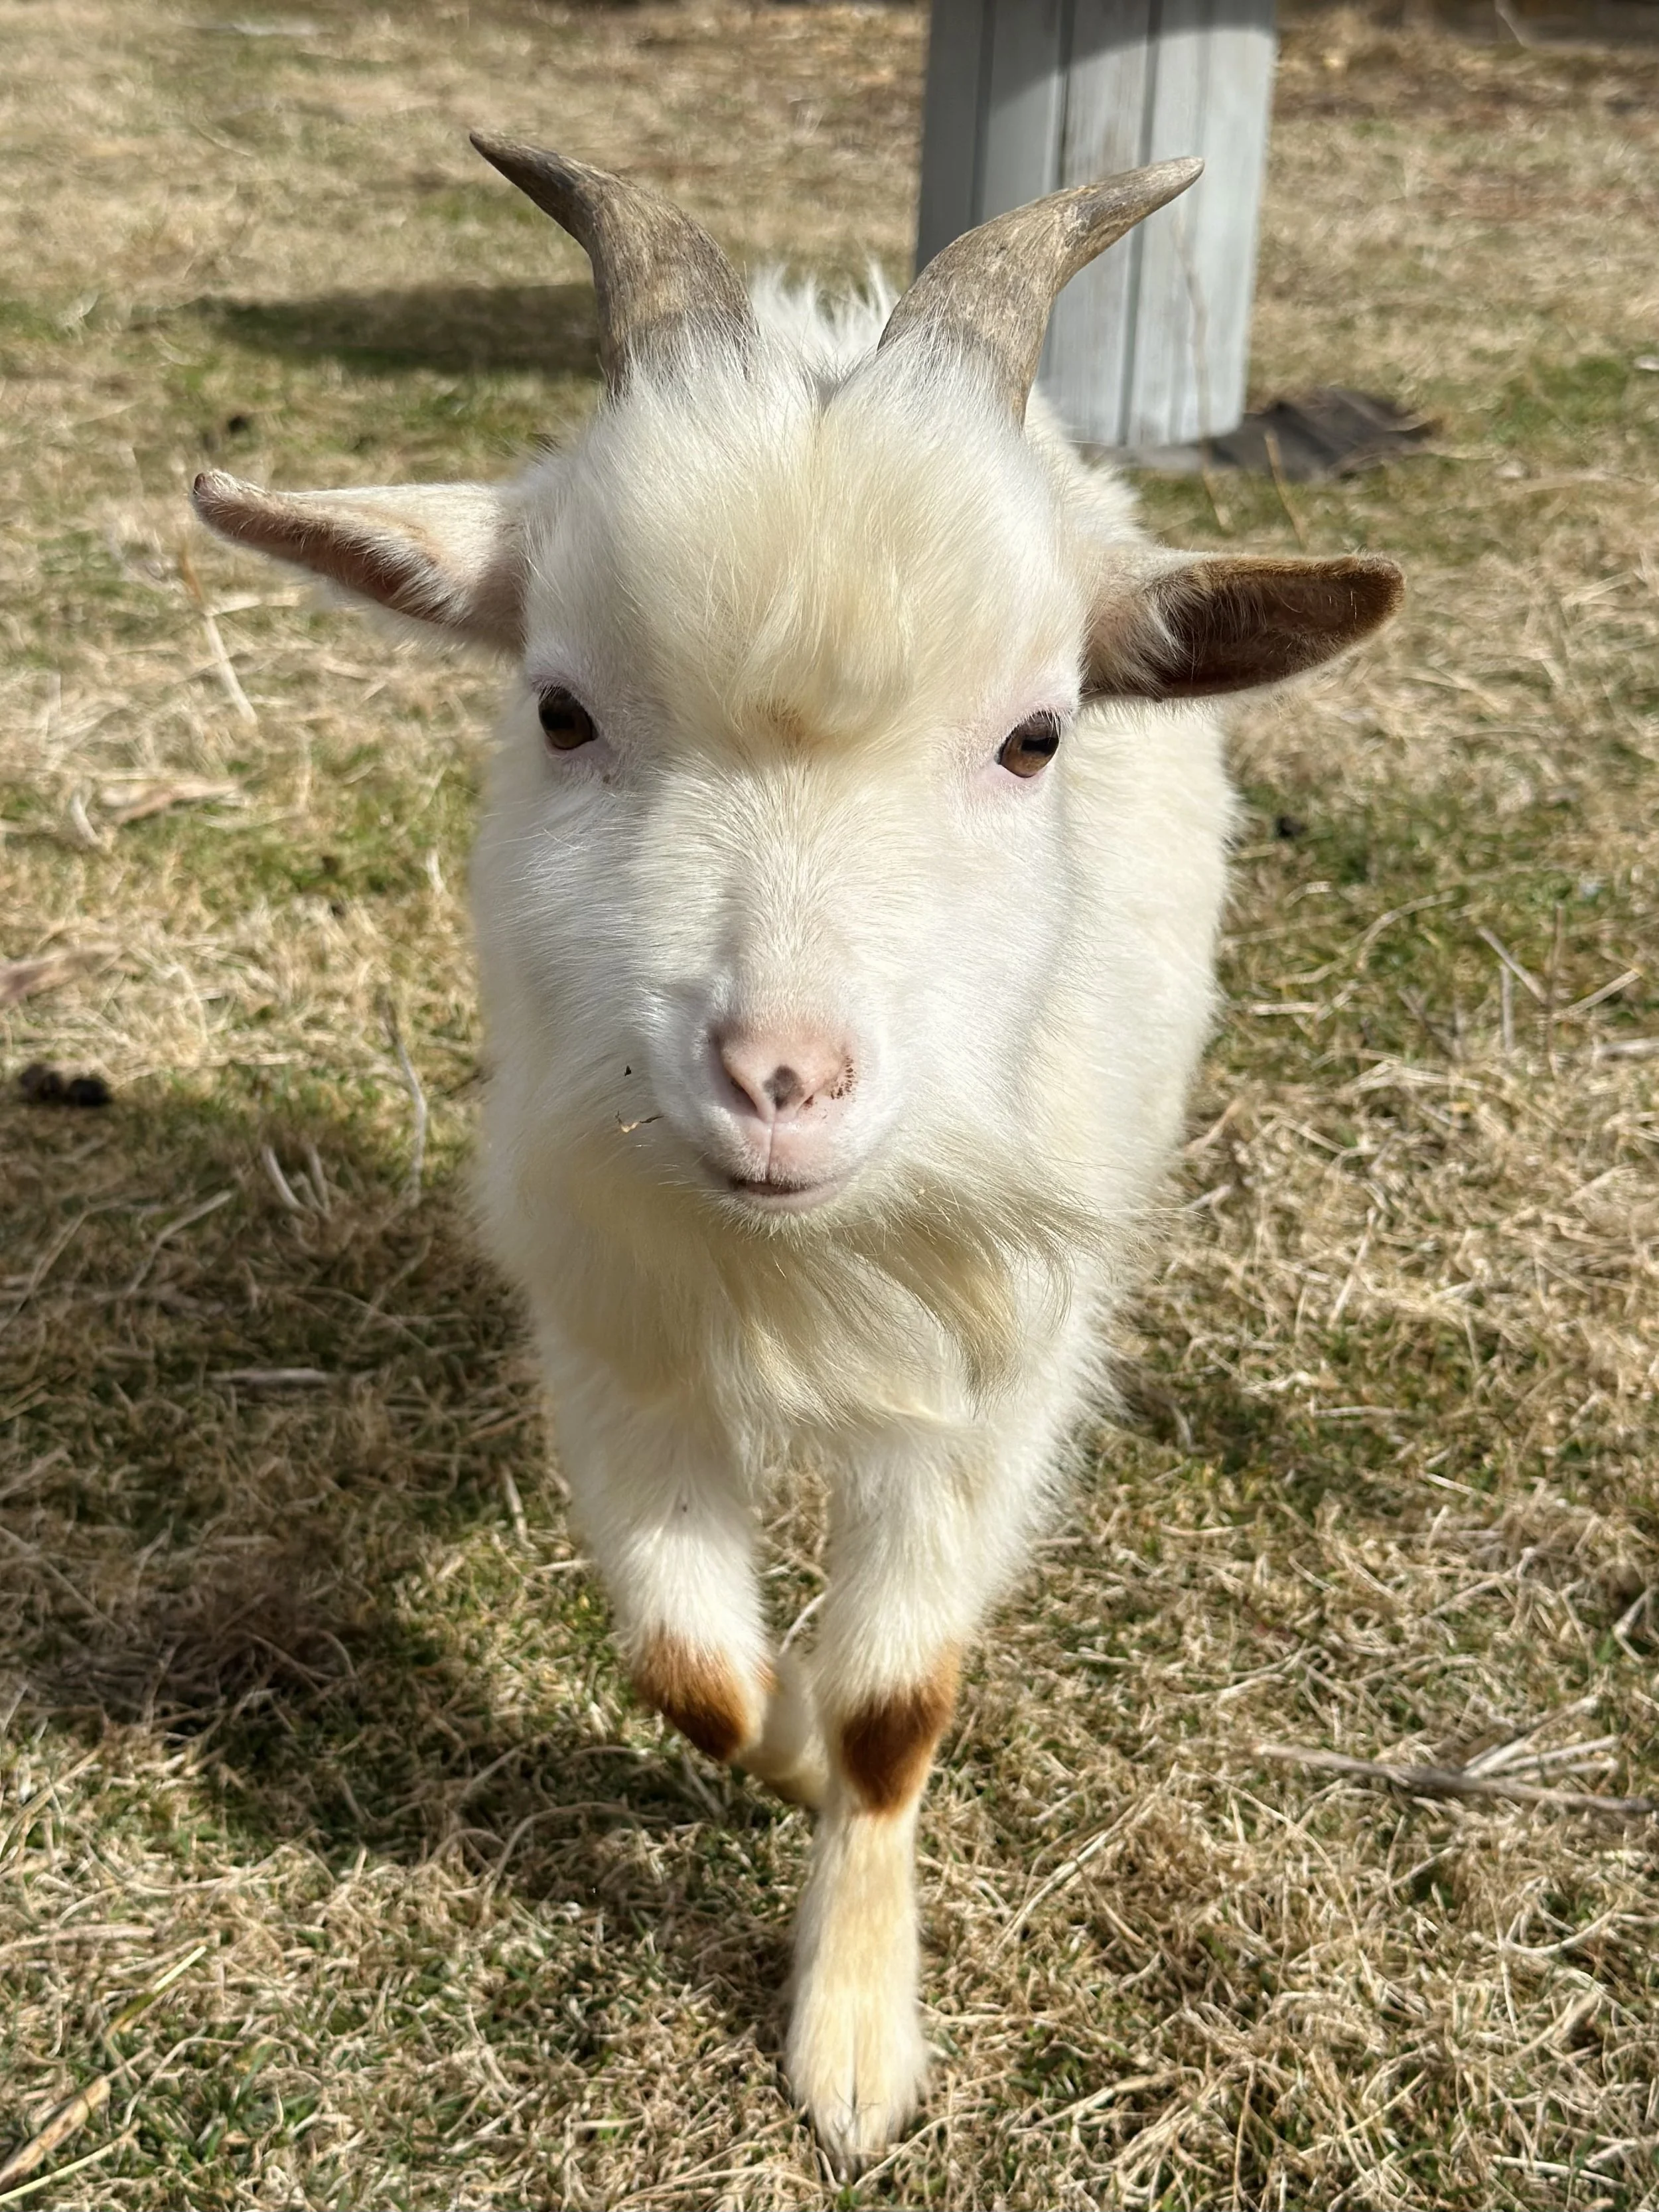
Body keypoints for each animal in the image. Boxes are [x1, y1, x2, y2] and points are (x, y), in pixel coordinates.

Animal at [192, 138, 1401, 2171]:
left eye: (1035, 734)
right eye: (561, 708)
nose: (777, 1077)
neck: (793, 1254)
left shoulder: (995, 1367)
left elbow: (898, 1707)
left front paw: (851, 2038)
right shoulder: (612, 1326)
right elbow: (687, 1674)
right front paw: (770, 1739)